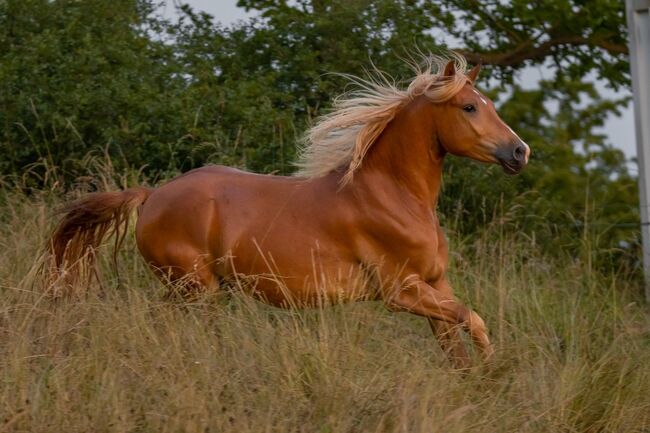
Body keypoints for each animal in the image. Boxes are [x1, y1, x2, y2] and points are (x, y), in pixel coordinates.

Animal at [49, 54, 528, 368]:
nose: (520, 152)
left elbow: (457, 346)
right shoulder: (401, 292)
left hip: (198, 289)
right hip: (195, 287)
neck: (394, 196)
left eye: (489, 104)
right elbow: (474, 320)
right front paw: (495, 368)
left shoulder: (435, 285)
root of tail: (152, 196)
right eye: (469, 106)